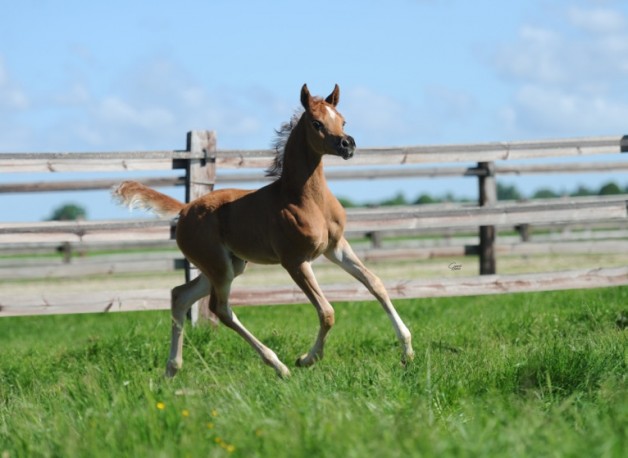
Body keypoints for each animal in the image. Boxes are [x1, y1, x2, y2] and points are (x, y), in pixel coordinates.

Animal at [115, 84, 414, 378]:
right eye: (317, 123)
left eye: (343, 120)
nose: (347, 144)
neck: (304, 198)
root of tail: (185, 208)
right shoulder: (294, 261)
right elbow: (327, 312)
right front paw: (306, 359)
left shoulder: (336, 246)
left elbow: (375, 284)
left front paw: (407, 352)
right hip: (219, 267)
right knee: (220, 309)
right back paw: (279, 366)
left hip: (229, 265)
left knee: (181, 295)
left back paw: (171, 370)